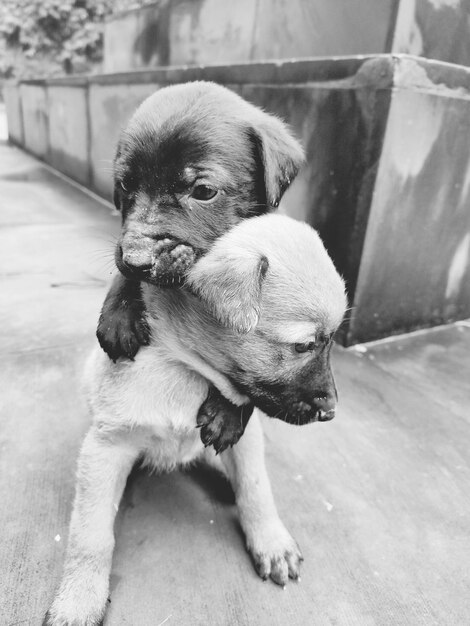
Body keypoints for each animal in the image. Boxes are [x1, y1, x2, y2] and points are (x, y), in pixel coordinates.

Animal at [45, 212, 346, 620]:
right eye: (304, 346)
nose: (330, 412)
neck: (187, 367)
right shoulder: (107, 446)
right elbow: (90, 535)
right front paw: (78, 599)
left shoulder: (247, 438)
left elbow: (256, 488)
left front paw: (271, 541)